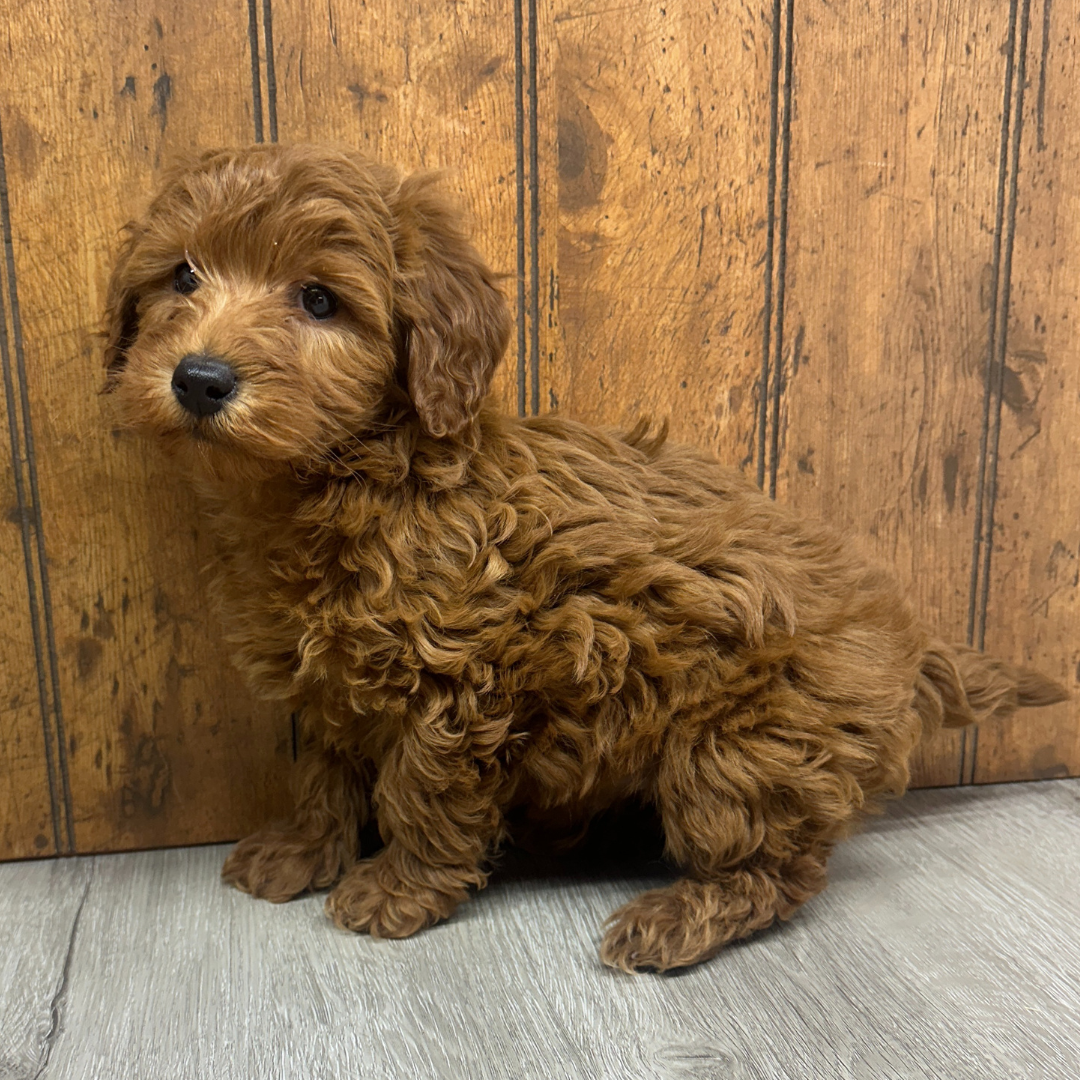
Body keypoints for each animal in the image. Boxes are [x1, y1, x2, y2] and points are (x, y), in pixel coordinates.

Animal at [105, 141, 1067, 972]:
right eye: (182, 275)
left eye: (316, 301)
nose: (199, 378)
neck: (349, 484)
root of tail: (910, 648)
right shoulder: (333, 682)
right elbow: (325, 774)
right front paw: (303, 852)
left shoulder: (459, 684)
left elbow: (422, 791)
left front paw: (398, 891)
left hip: (736, 753)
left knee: (776, 869)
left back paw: (676, 919)